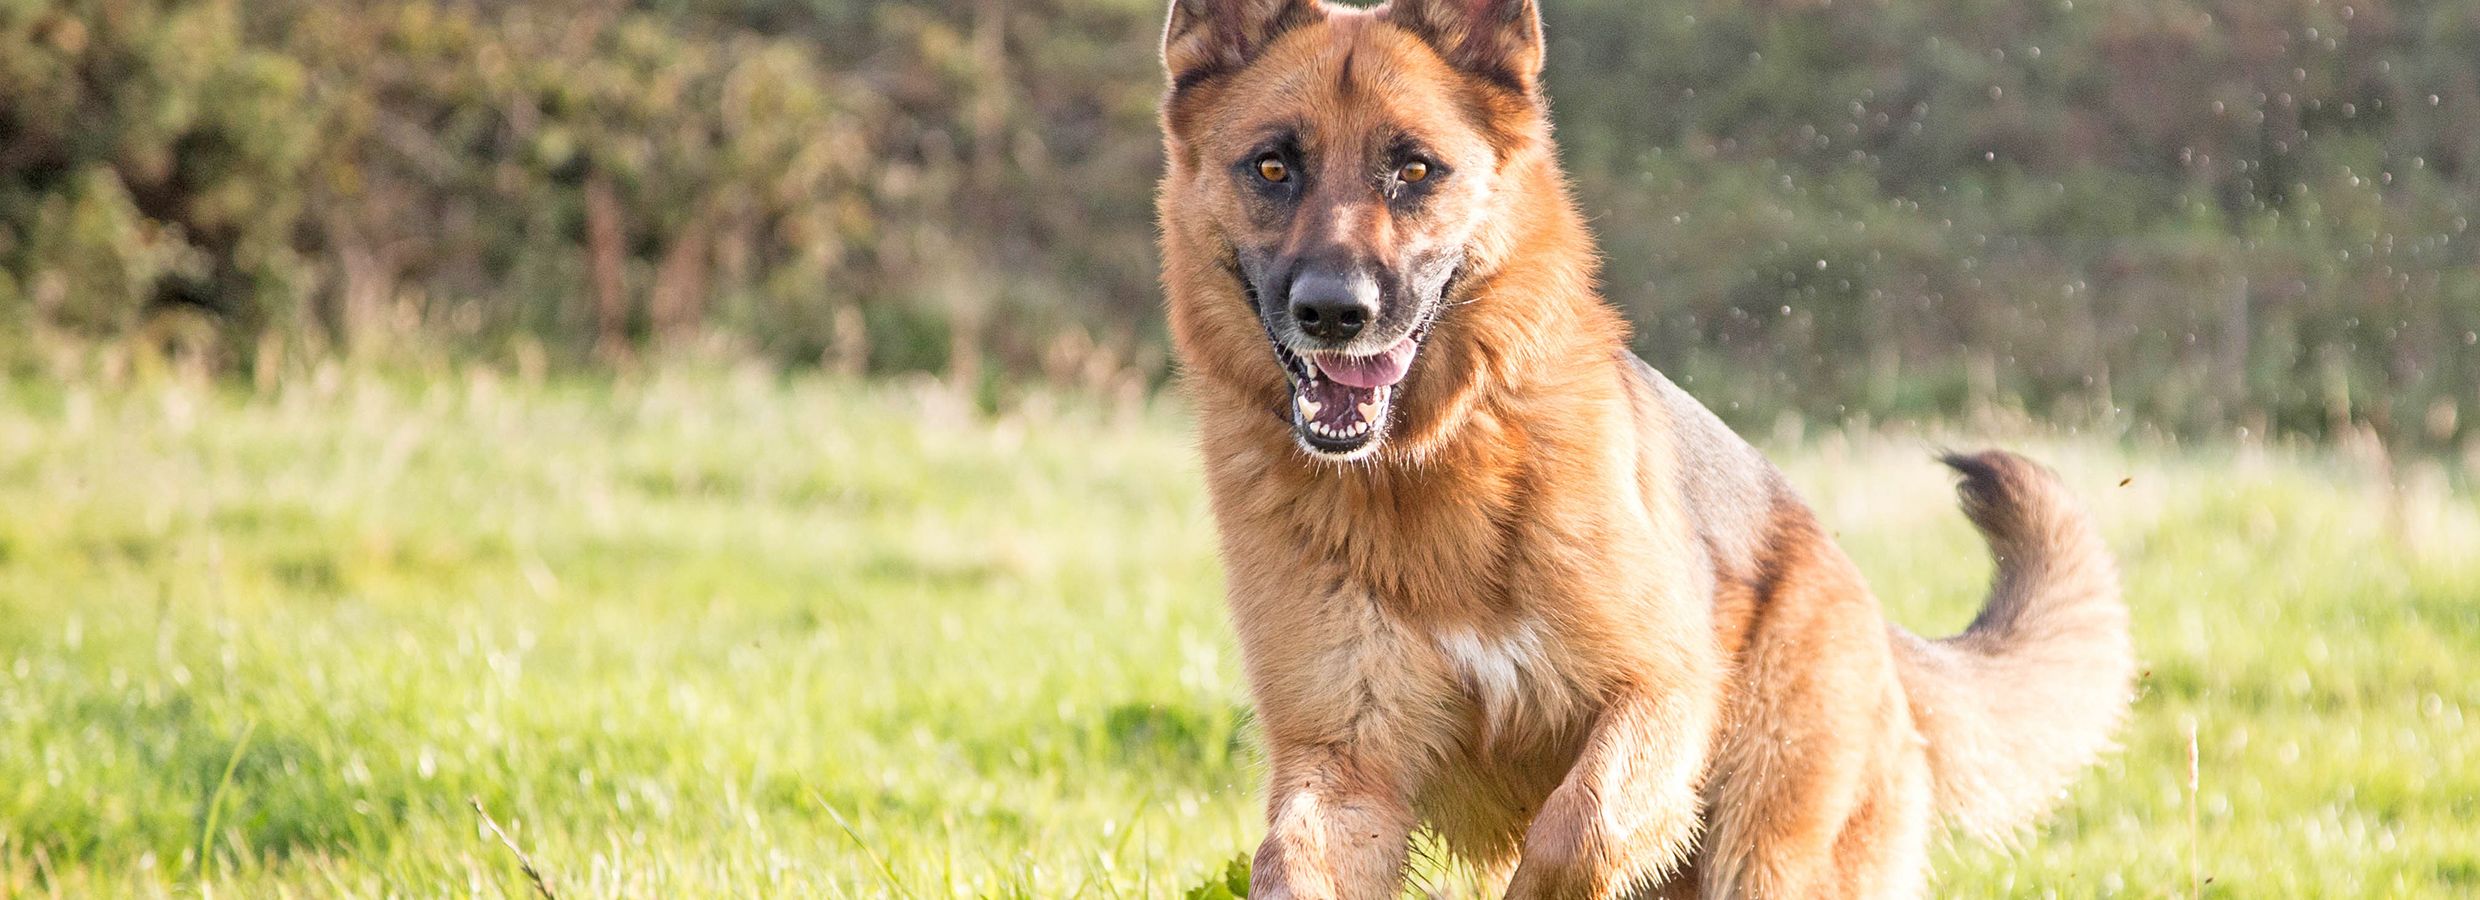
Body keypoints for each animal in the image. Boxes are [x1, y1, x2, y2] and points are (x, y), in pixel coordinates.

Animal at [1150, 3, 2142, 897]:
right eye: (1273, 167)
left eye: (1416, 170)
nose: (1333, 312)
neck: (1426, 474)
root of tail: (1860, 599)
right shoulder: (1343, 766)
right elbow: (1292, 861)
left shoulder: (1659, 695)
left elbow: (1578, 827)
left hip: (1772, 860)